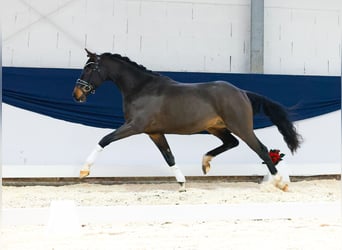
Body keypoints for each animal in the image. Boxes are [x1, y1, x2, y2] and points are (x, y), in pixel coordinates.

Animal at [73, 49, 302, 191]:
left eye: (89, 68)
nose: (77, 94)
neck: (141, 89)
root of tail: (242, 92)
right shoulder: (154, 132)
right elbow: (169, 157)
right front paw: (182, 184)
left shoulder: (135, 126)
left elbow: (105, 139)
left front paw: (84, 171)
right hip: (216, 127)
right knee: (231, 142)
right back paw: (205, 163)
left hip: (240, 126)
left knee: (261, 149)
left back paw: (280, 183)